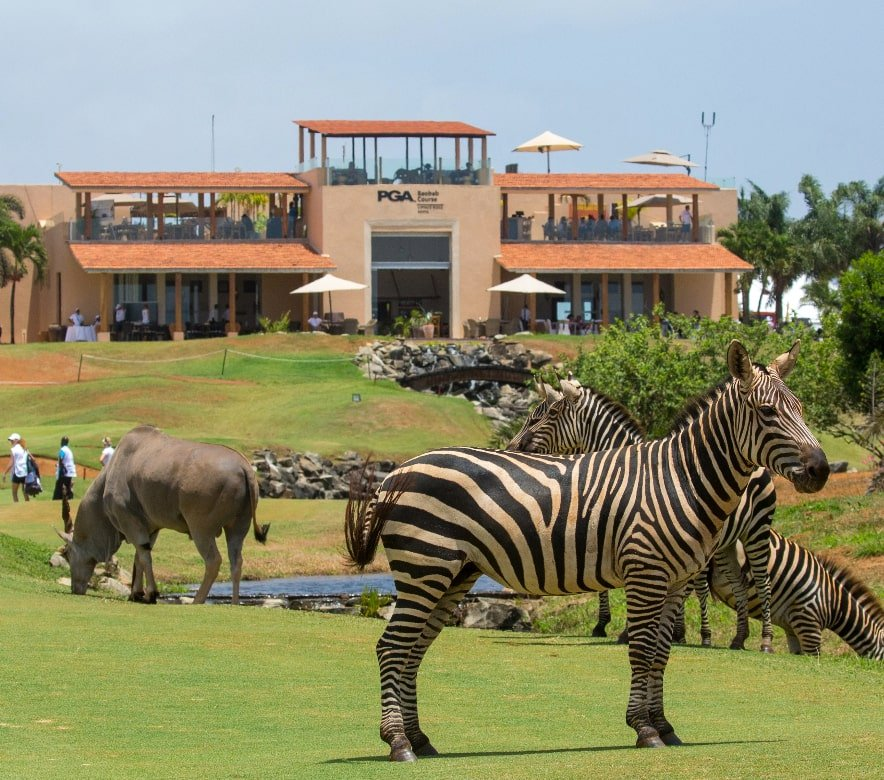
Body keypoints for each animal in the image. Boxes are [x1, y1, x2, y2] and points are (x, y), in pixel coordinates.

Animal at [508, 377, 778, 652]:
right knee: (738, 582)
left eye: (547, 414)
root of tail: (757, 466)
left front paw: (625, 630)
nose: (513, 446)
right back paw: (738, 637)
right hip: (727, 543)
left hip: (757, 529)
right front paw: (608, 625)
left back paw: (763, 640)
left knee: (762, 580)